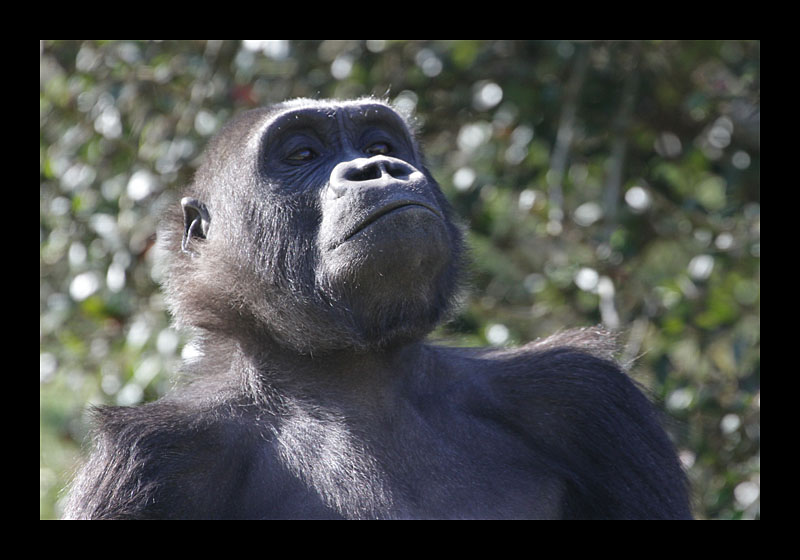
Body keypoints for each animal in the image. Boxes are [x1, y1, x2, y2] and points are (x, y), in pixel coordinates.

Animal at [62, 97, 692, 520]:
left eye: (381, 147)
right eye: (303, 153)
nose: (380, 170)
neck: (353, 376)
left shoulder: (581, 393)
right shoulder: (149, 458)